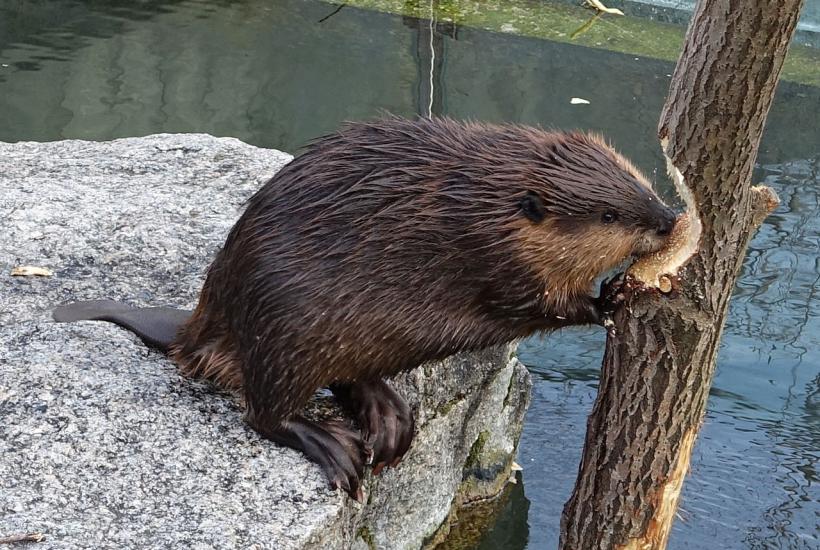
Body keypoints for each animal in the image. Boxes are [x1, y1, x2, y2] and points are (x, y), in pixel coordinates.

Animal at [54, 115, 676, 500]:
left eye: (639, 182)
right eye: (608, 215)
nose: (669, 218)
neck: (478, 201)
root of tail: (196, 329)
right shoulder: (488, 255)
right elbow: (534, 300)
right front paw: (610, 299)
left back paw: (390, 420)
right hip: (285, 335)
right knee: (264, 412)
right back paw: (335, 445)